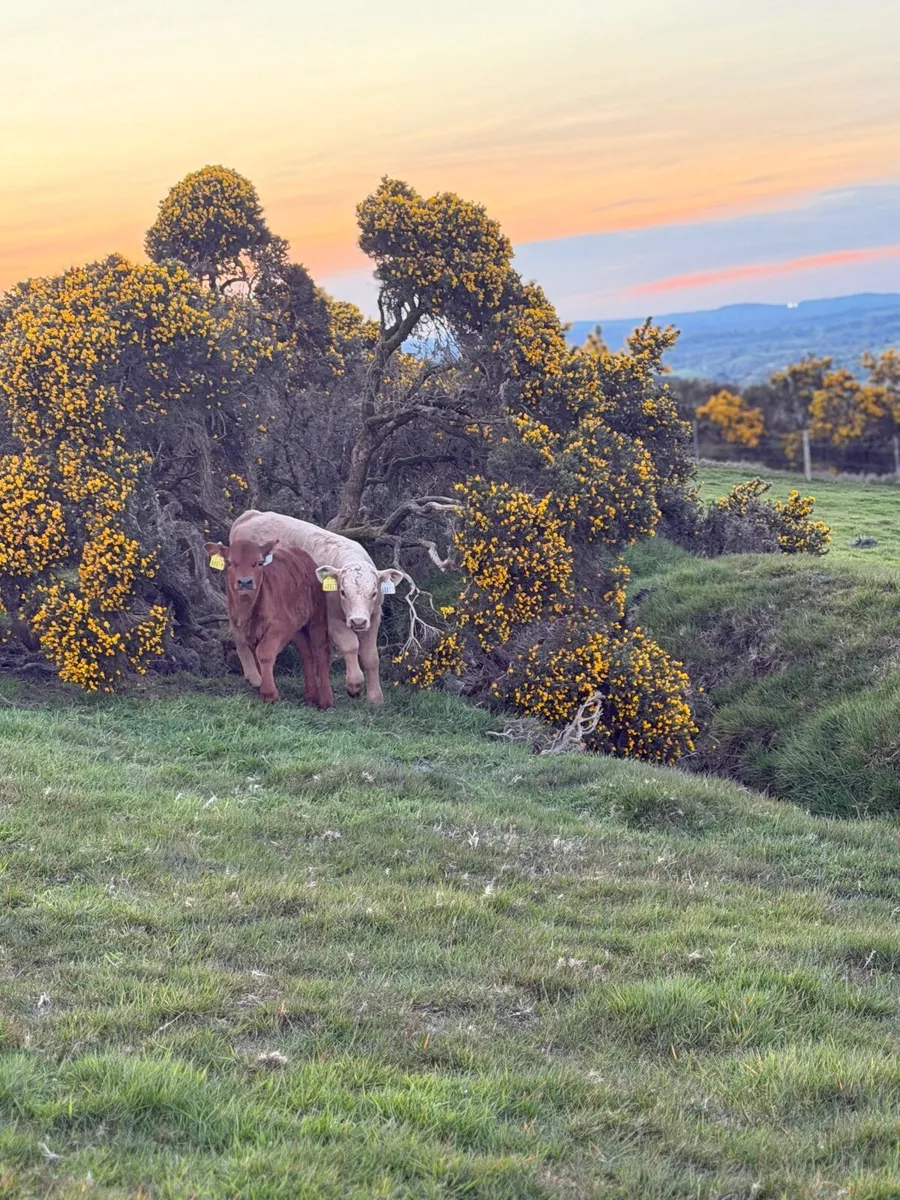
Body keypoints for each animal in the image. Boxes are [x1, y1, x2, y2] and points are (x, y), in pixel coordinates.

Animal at [205, 534, 333, 709]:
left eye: (259, 563)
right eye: (230, 563)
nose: (245, 582)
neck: (247, 612)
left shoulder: (281, 624)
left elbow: (264, 653)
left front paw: (269, 693)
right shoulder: (245, 632)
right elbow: (257, 657)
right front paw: (262, 686)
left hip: (317, 619)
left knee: (321, 652)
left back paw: (326, 699)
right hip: (297, 628)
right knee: (306, 653)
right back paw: (311, 694)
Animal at [229, 510, 404, 704]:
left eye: (373, 593)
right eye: (343, 592)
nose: (357, 621)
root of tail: (251, 515)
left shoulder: (373, 618)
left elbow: (371, 657)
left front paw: (375, 697)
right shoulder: (332, 620)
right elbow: (351, 645)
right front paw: (354, 685)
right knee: (240, 636)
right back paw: (254, 677)